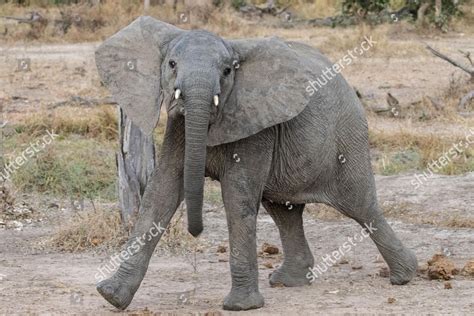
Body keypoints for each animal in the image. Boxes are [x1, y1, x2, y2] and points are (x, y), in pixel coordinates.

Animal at [93, 16, 418, 310]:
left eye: (227, 71)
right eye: (171, 64)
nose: (196, 232)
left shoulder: (256, 126)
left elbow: (237, 197)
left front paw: (241, 306)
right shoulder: (177, 125)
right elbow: (161, 192)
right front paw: (111, 296)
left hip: (347, 135)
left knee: (361, 206)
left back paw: (405, 275)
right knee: (284, 210)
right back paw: (289, 281)